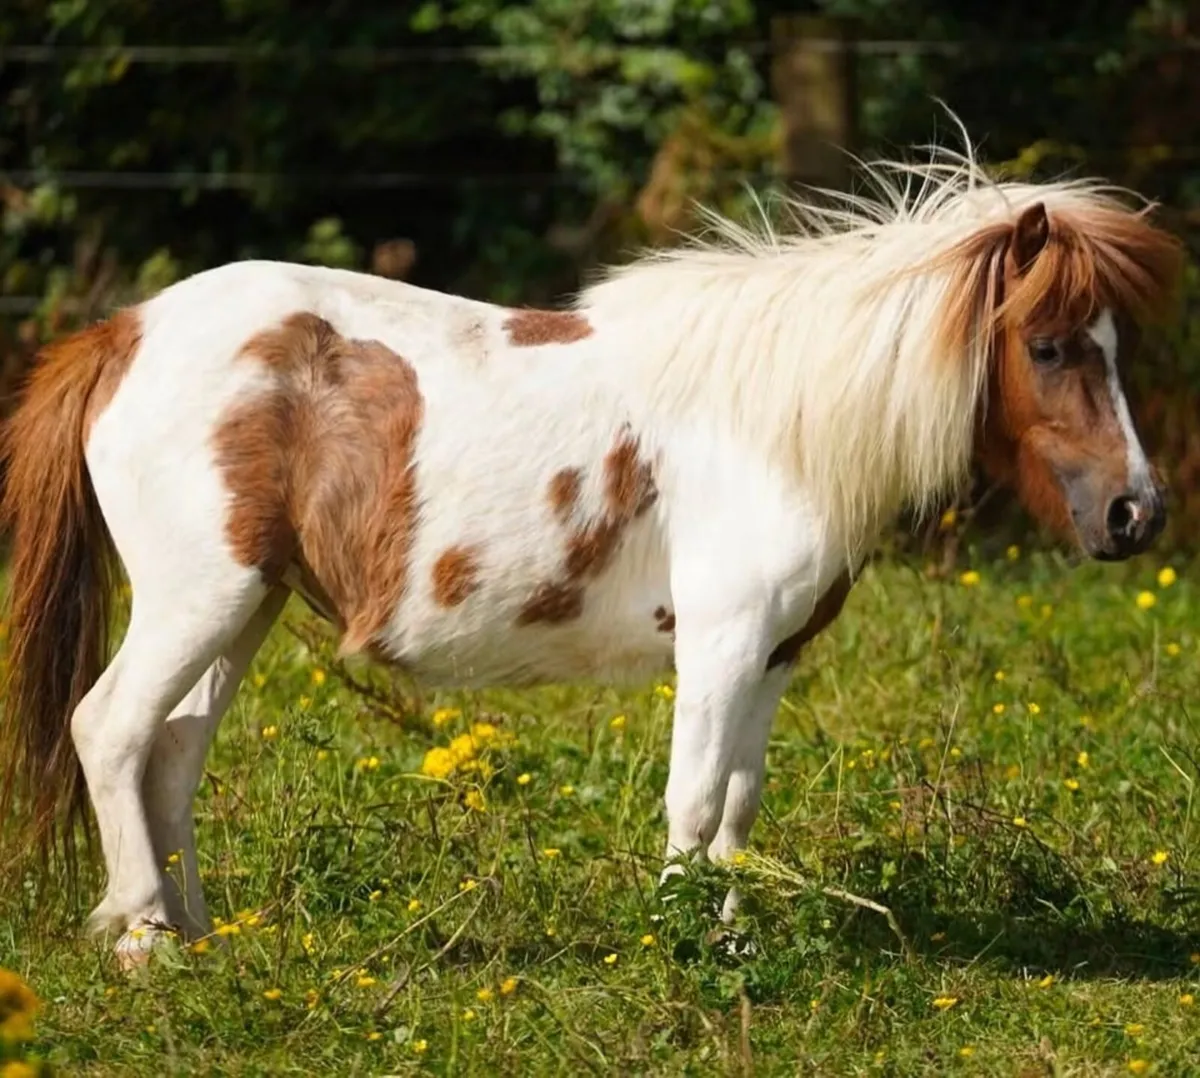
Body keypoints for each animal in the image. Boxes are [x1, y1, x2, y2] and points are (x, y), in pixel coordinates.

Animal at [0, 139, 1182, 968]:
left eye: (1112, 344)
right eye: (1049, 346)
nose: (1137, 513)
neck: (771, 424)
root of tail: (124, 334)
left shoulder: (774, 655)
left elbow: (737, 808)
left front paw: (732, 940)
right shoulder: (721, 643)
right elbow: (693, 801)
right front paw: (682, 944)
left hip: (242, 610)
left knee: (172, 753)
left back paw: (199, 936)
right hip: (198, 599)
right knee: (110, 729)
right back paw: (146, 942)